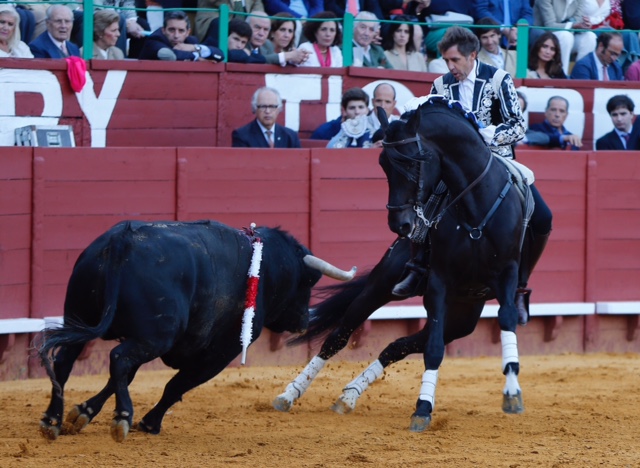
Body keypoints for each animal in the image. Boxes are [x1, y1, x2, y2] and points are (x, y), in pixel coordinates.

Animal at [274, 97, 527, 432]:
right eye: (383, 163)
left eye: (413, 161)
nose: (401, 224)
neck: (475, 209)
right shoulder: (439, 282)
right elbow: (434, 349)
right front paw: (422, 409)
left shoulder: (507, 273)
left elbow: (507, 319)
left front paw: (512, 392)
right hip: (383, 283)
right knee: (339, 335)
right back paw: (291, 393)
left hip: (464, 316)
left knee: (399, 344)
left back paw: (349, 395)